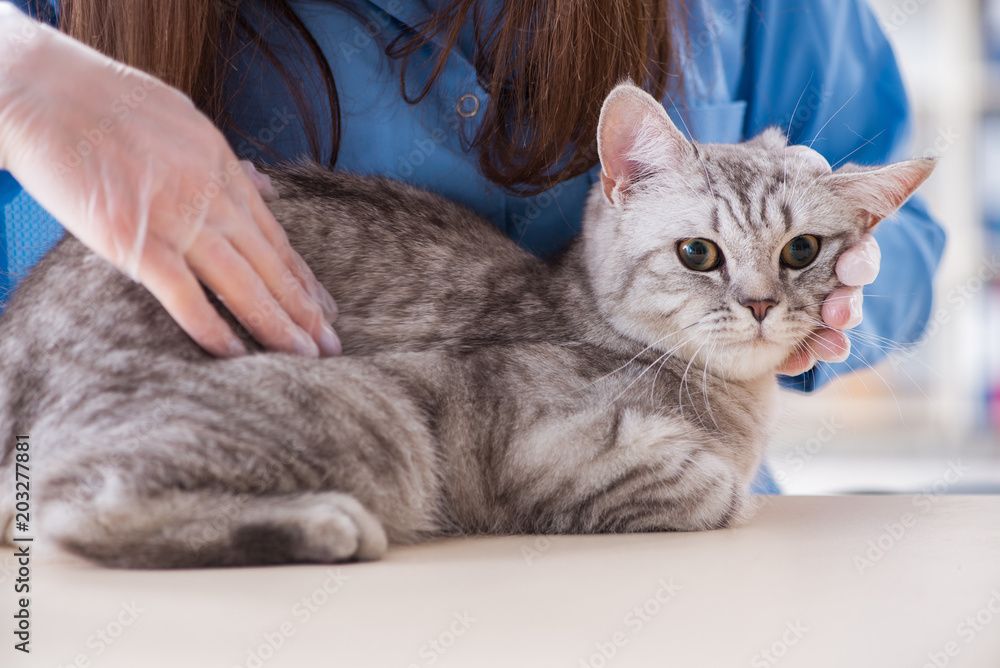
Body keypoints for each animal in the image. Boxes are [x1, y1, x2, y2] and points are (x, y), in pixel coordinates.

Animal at [3, 81, 932, 568]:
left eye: (802, 250)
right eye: (699, 253)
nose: (761, 302)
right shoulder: (550, 450)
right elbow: (715, 492)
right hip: (374, 414)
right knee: (70, 515)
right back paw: (325, 525)